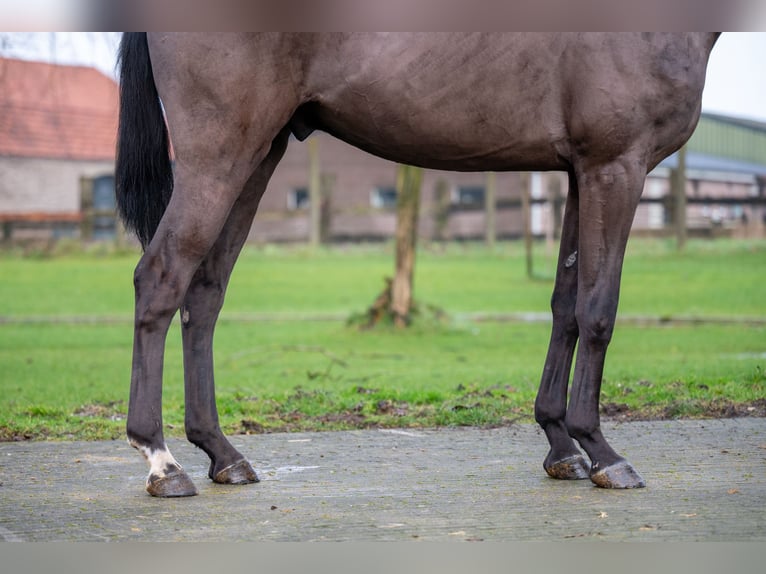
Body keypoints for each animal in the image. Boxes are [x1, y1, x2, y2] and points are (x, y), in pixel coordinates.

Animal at [117, 33, 724, 498]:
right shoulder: (615, 165)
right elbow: (598, 311)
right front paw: (602, 453)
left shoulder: (580, 172)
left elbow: (565, 305)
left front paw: (561, 446)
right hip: (218, 157)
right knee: (160, 278)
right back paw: (162, 463)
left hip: (259, 154)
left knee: (204, 292)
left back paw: (222, 454)